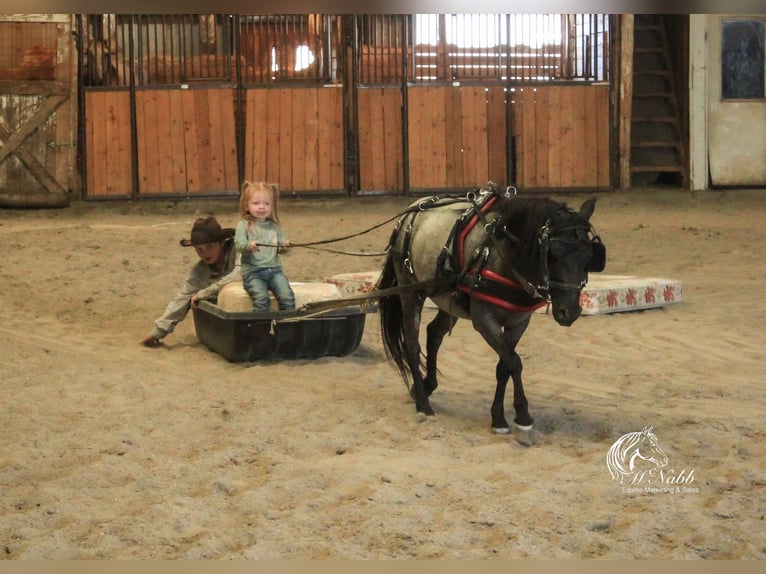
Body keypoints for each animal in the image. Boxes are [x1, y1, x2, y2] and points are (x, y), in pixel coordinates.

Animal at [378, 183, 608, 432]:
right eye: (553, 254)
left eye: (589, 256)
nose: (570, 312)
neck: (506, 257)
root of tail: (412, 211)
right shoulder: (484, 320)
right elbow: (514, 362)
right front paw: (518, 414)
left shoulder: (519, 322)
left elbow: (504, 366)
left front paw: (504, 415)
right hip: (410, 291)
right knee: (411, 344)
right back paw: (423, 404)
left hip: (448, 298)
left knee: (434, 333)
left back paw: (427, 385)